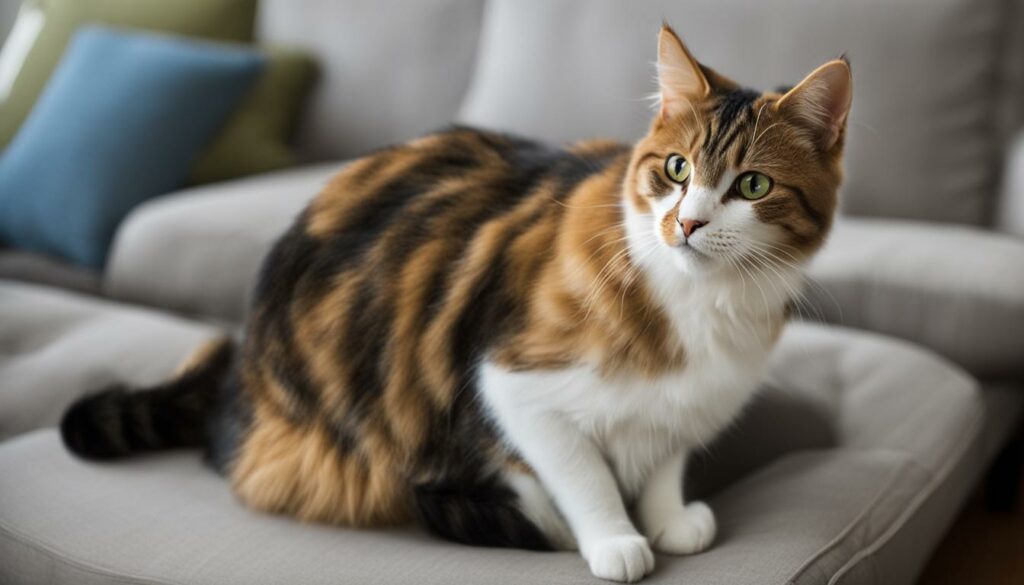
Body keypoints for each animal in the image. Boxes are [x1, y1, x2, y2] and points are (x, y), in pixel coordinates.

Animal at [59, 26, 851, 585]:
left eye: (752, 185)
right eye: (677, 169)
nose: (685, 224)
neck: (702, 300)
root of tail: (239, 381)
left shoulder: (683, 403)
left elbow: (663, 457)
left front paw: (667, 517)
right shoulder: (510, 385)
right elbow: (583, 476)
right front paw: (616, 538)